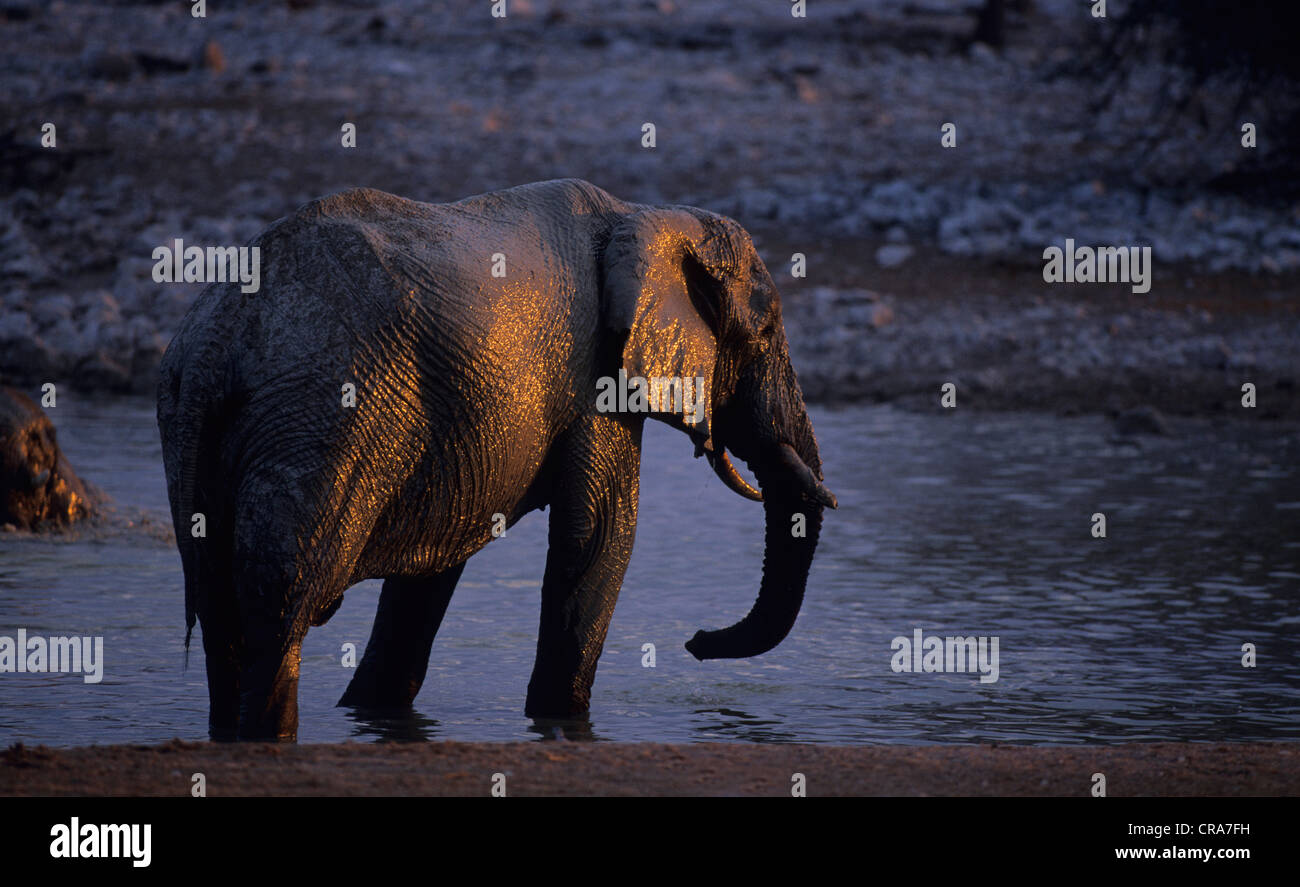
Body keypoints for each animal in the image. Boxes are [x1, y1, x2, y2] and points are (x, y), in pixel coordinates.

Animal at [157, 178, 836, 741]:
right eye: (765, 332)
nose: (694, 641)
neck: (644, 215)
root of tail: (214, 347)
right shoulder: (598, 376)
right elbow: (600, 537)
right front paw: (561, 724)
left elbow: (432, 567)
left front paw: (374, 714)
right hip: (320, 420)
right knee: (282, 602)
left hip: (196, 429)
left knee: (220, 608)